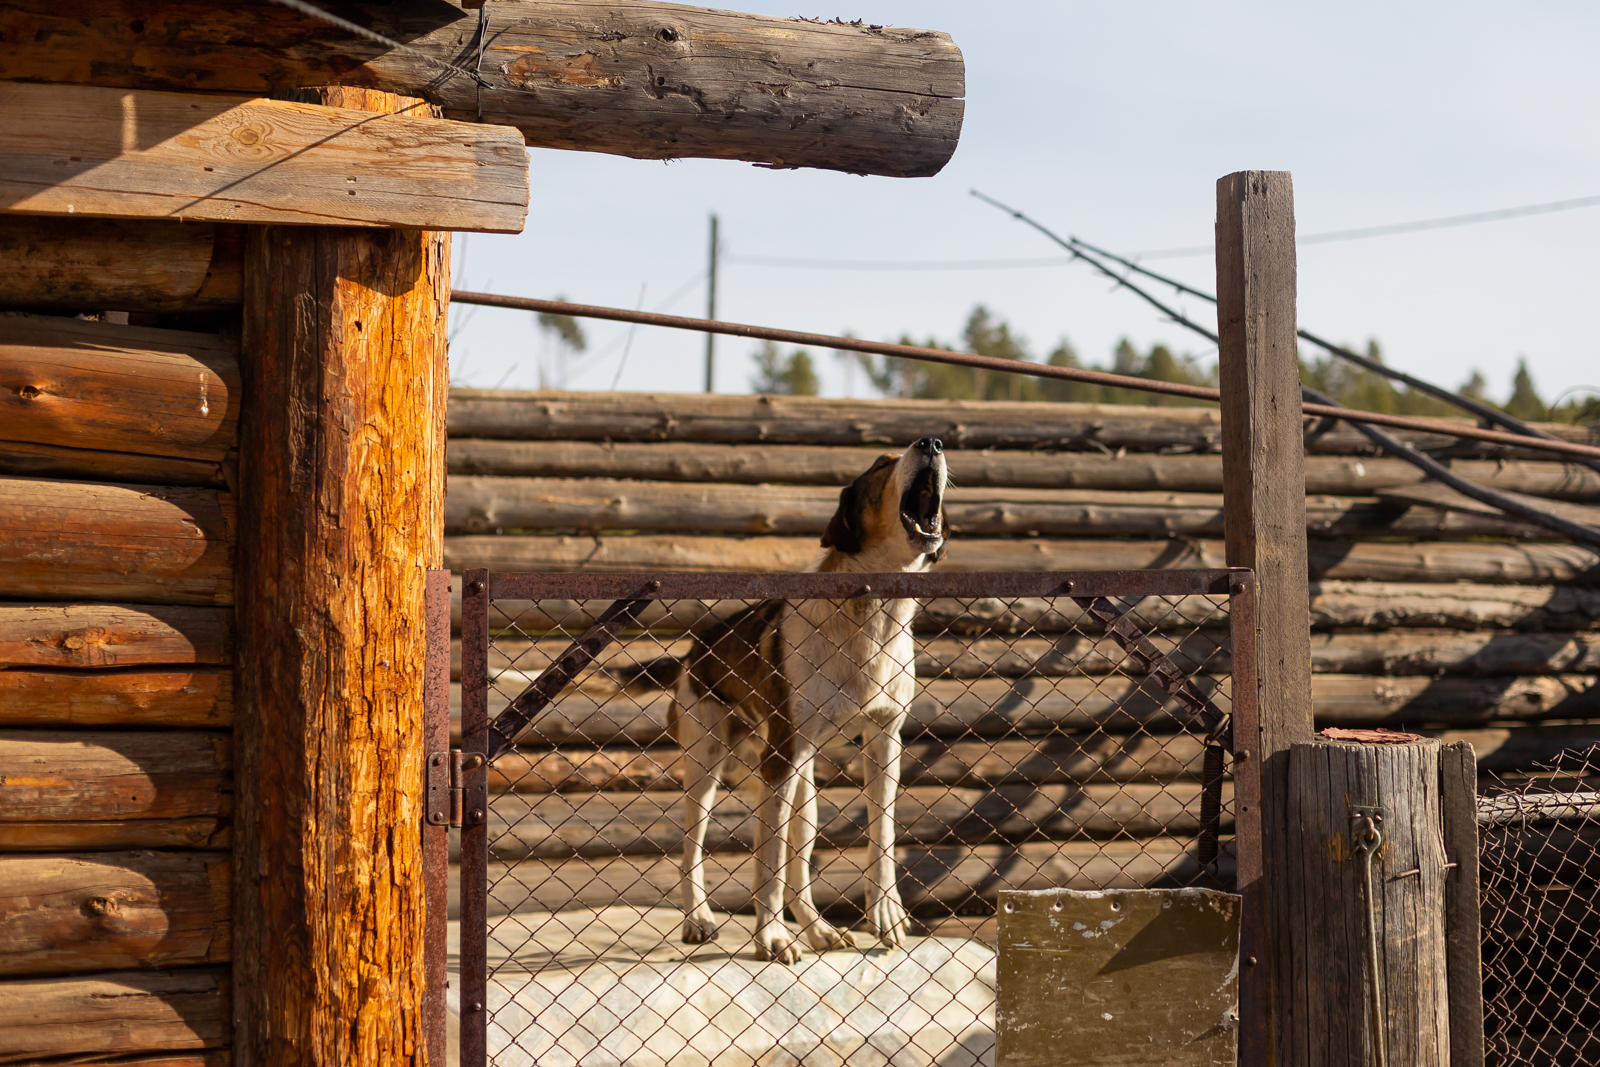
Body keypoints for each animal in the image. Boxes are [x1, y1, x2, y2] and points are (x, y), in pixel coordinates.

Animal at [675, 438, 947, 966]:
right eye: (881, 464)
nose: (931, 442)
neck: (871, 613)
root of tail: (696, 648)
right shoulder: (777, 759)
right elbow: (768, 862)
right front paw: (771, 939)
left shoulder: (884, 742)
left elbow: (881, 836)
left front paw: (885, 914)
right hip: (709, 762)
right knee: (692, 846)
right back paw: (698, 919)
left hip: (803, 784)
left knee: (798, 861)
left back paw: (819, 930)